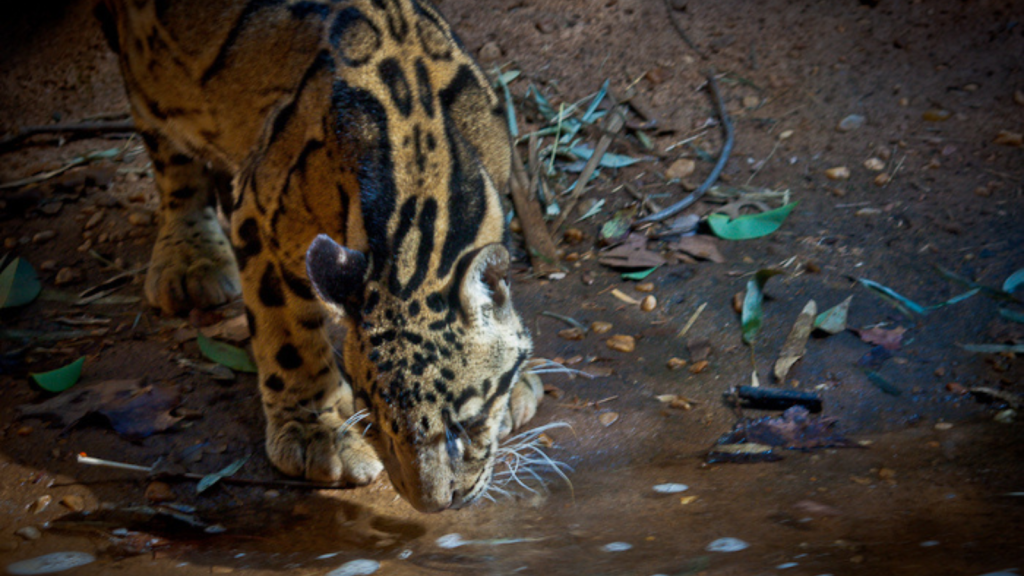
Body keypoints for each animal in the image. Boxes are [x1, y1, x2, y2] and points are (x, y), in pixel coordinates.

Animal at [96, 0, 544, 510]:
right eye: (377, 416)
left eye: (466, 423)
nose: (430, 503)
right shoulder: (262, 209)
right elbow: (287, 332)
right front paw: (317, 432)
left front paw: (517, 386)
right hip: (148, 69)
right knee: (170, 154)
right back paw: (189, 255)